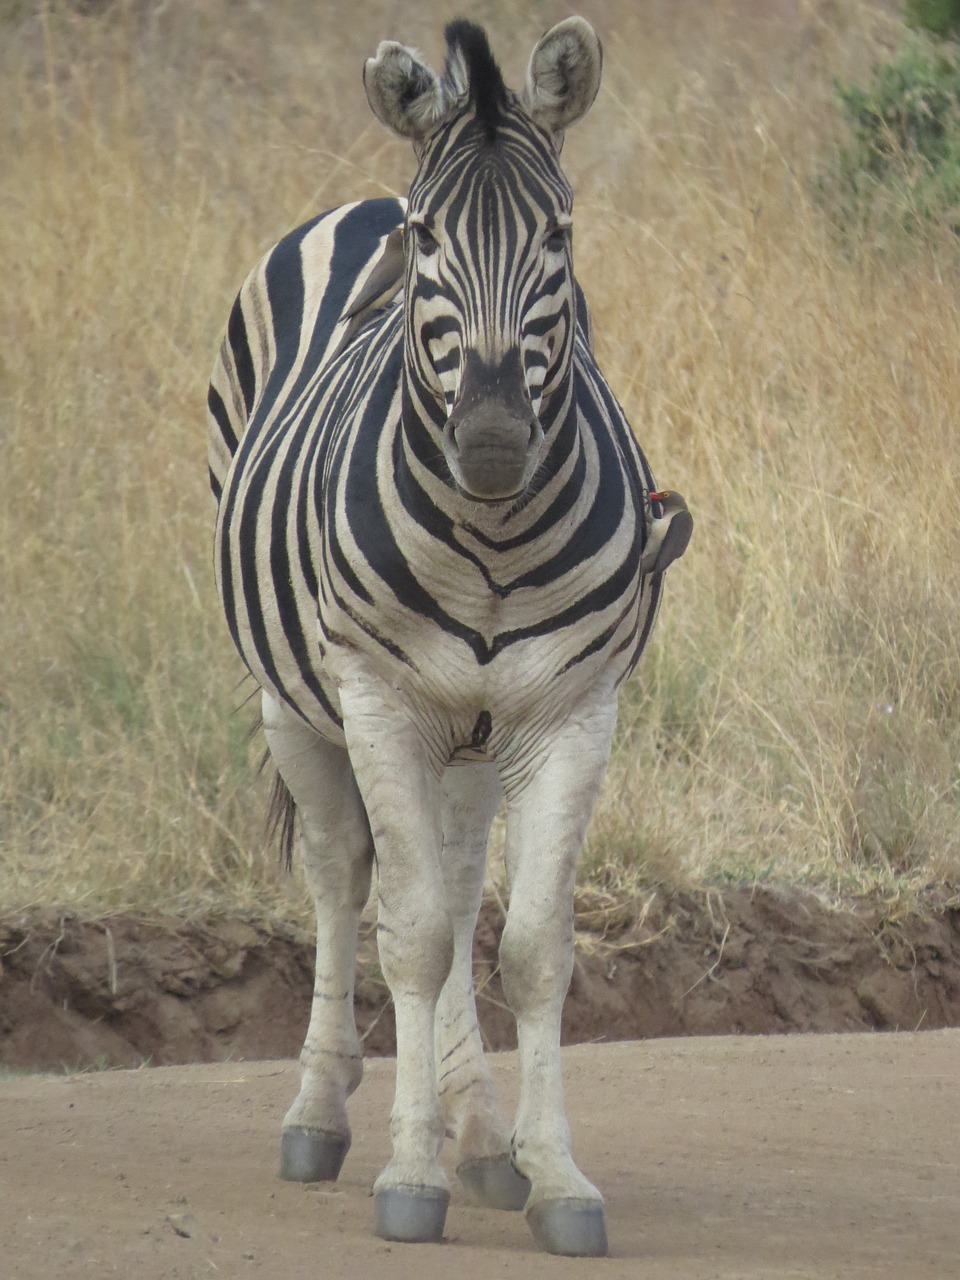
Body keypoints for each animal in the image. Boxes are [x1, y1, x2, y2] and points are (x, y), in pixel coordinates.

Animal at [208, 17, 691, 1259]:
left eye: (560, 232)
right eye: (430, 240)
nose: (490, 443)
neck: (493, 535)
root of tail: (365, 193)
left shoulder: (574, 713)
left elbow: (531, 944)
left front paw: (552, 1172)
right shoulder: (380, 702)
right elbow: (414, 931)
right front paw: (408, 1174)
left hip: (475, 732)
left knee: (467, 880)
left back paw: (480, 1137)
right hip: (296, 699)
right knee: (344, 878)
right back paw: (322, 1115)